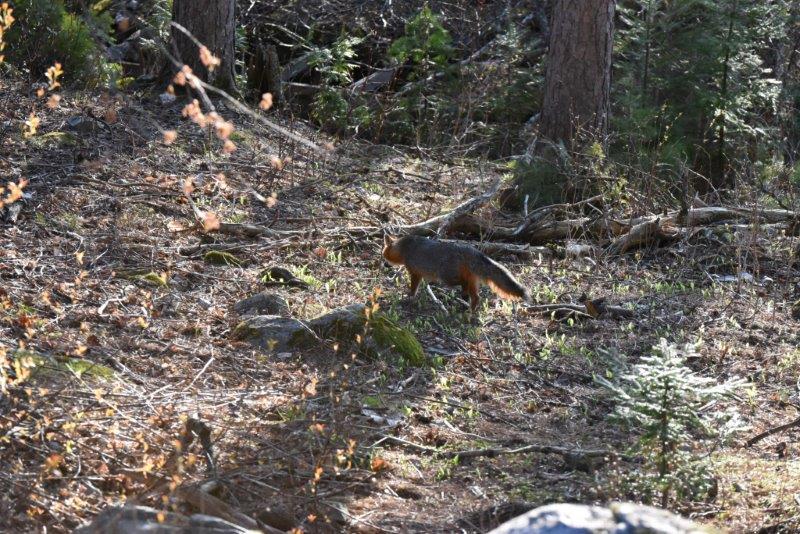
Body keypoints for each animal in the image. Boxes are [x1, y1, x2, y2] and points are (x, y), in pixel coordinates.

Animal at [382, 234, 529, 312]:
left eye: (384, 257)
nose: (384, 265)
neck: (405, 247)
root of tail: (470, 249)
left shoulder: (415, 273)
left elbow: (413, 288)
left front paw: (409, 297)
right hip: (470, 280)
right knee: (476, 296)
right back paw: (469, 309)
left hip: (446, 277)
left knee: (464, 285)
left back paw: (465, 300)